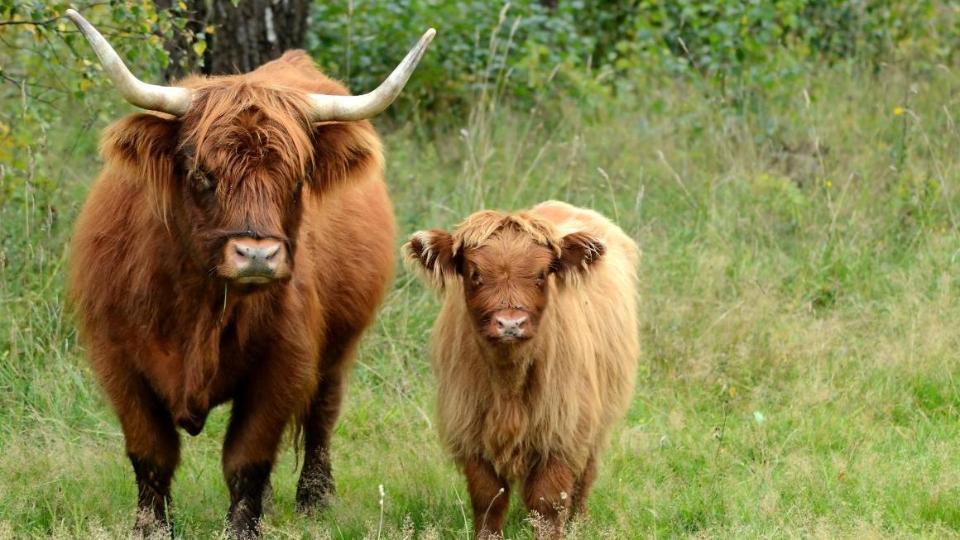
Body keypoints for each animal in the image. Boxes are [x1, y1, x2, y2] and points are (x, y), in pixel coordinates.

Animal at [404, 200, 636, 536]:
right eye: (475, 273)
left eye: (541, 275)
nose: (510, 324)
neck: (508, 383)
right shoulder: (470, 427)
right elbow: (488, 498)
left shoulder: (561, 429)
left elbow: (548, 502)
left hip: (597, 418)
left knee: (585, 474)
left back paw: (579, 522)